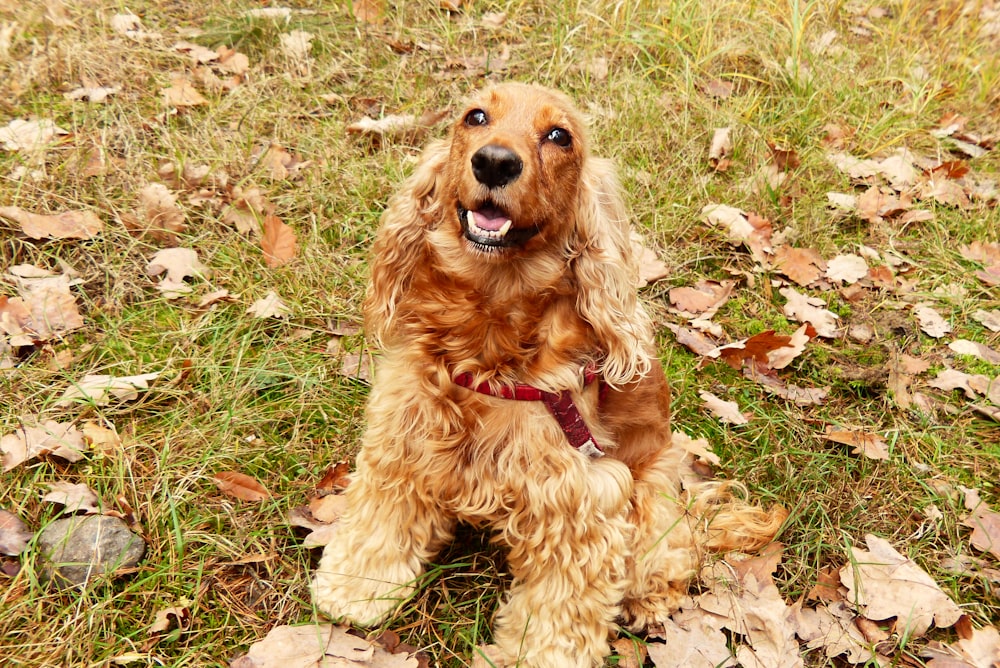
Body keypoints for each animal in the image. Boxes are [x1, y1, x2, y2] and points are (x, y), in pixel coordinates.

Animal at [312, 83, 780, 668]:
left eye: (559, 136)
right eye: (475, 117)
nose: (494, 161)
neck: (492, 324)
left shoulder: (580, 498)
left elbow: (560, 606)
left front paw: (535, 655)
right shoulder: (405, 435)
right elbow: (383, 520)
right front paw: (357, 586)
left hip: (653, 492)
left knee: (675, 555)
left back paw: (649, 602)